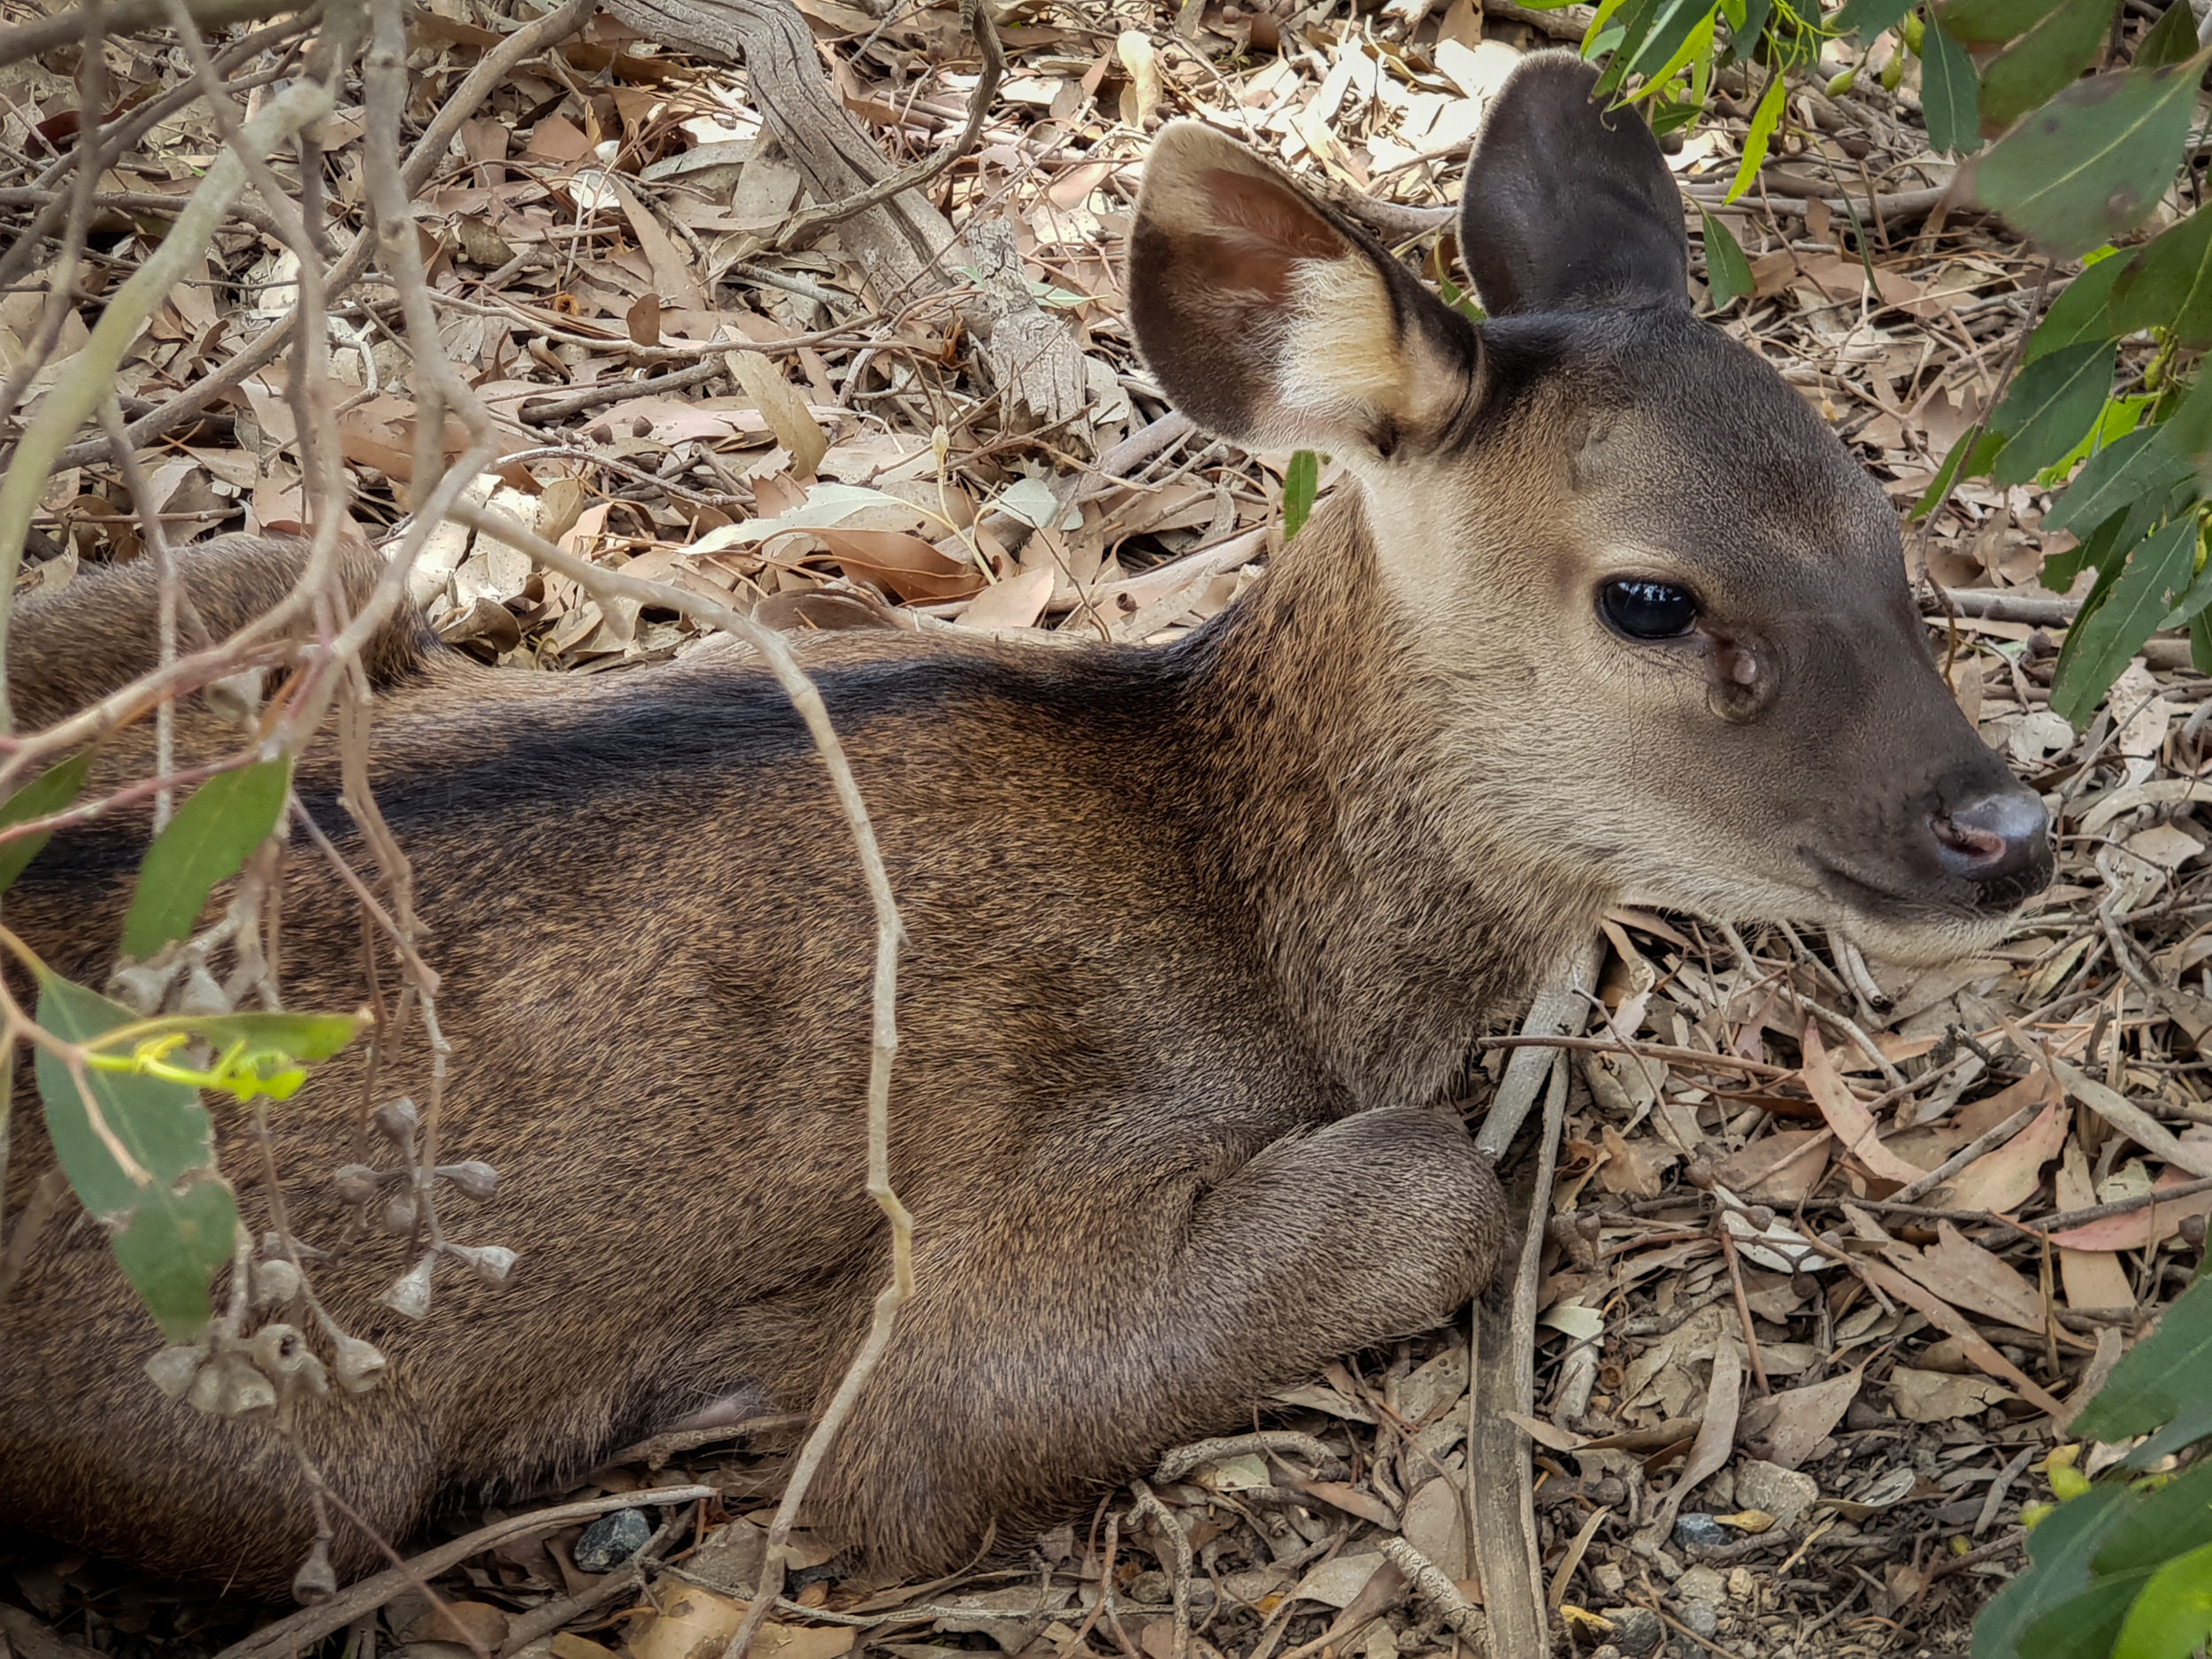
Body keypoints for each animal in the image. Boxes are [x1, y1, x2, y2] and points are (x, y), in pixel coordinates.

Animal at [0, 55, 2053, 1601]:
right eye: (1648, 597)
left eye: (1882, 508)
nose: (2002, 828)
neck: (1253, 930)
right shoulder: (950, 1320)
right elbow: (1425, 1189)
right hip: (287, 1452)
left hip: (281, 588)